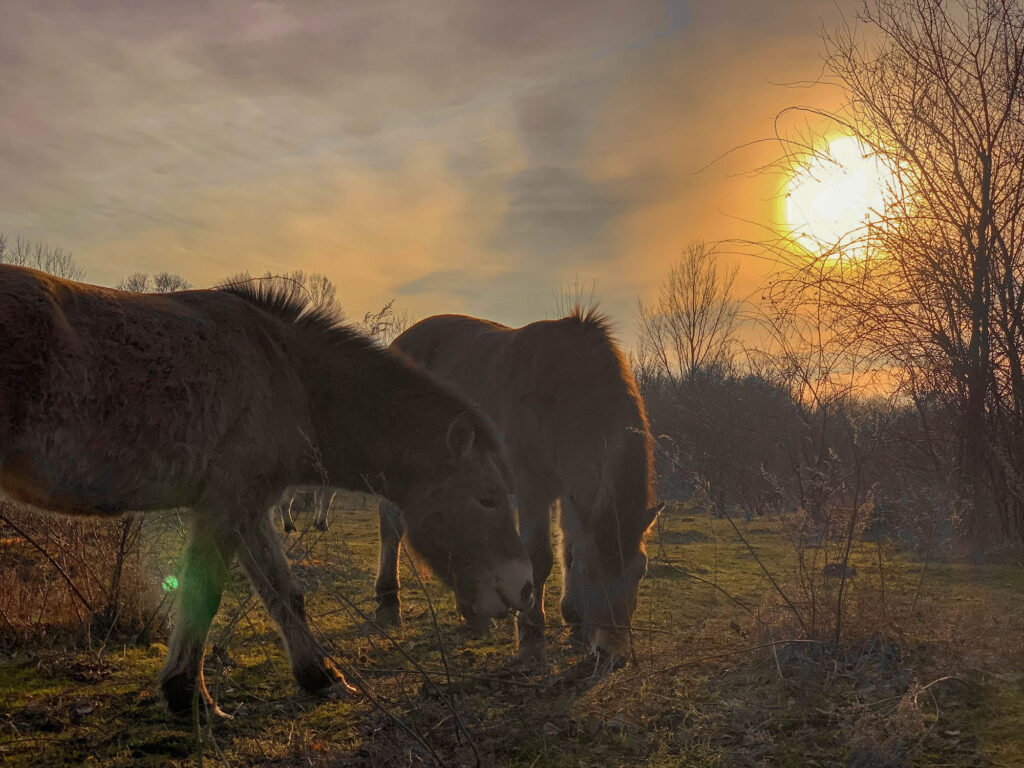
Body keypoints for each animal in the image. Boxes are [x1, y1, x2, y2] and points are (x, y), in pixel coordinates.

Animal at [0, 268, 528, 720]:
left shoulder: (249, 509)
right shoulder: (226, 504)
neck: (288, 373)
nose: (523, 586)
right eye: (487, 498)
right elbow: (203, 597)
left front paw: (320, 676)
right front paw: (190, 698)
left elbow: (284, 593)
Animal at [376, 311, 663, 663]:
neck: (564, 393)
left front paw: (575, 625)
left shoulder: (570, 492)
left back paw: (474, 615)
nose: (612, 652)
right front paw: (531, 638)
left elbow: (569, 546)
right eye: (590, 572)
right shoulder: (531, 488)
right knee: (390, 527)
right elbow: (539, 558)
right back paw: (389, 603)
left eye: (640, 571)